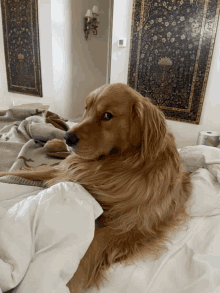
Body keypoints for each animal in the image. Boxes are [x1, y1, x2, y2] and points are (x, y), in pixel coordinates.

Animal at [0, 83, 191, 290]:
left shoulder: (129, 227)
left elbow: (92, 247)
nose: (68, 137)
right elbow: (27, 173)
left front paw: (68, 282)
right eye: (86, 109)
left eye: (107, 115)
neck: (117, 165)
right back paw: (54, 143)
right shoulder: (71, 172)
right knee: (60, 152)